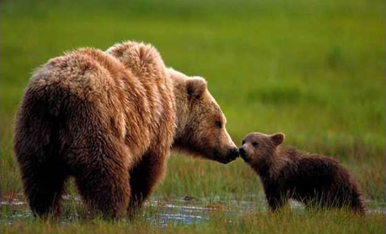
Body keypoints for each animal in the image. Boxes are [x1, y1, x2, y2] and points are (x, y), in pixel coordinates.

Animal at [14, 41, 238, 219]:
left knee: (42, 175)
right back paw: (112, 212)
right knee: (105, 171)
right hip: (94, 121)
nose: (233, 150)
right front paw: (134, 205)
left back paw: (46, 211)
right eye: (219, 122)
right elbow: (147, 170)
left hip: (37, 126)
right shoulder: (155, 127)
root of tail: (56, 93)